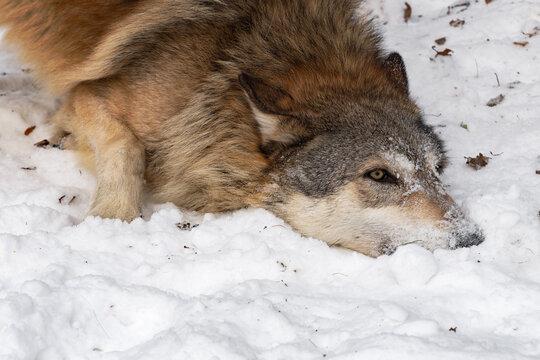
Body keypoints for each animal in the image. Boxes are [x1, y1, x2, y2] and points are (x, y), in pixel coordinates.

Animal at [0, 0, 484, 256]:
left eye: (437, 170)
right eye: (380, 175)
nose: (474, 238)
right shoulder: (88, 94)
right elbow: (126, 146)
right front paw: (111, 220)